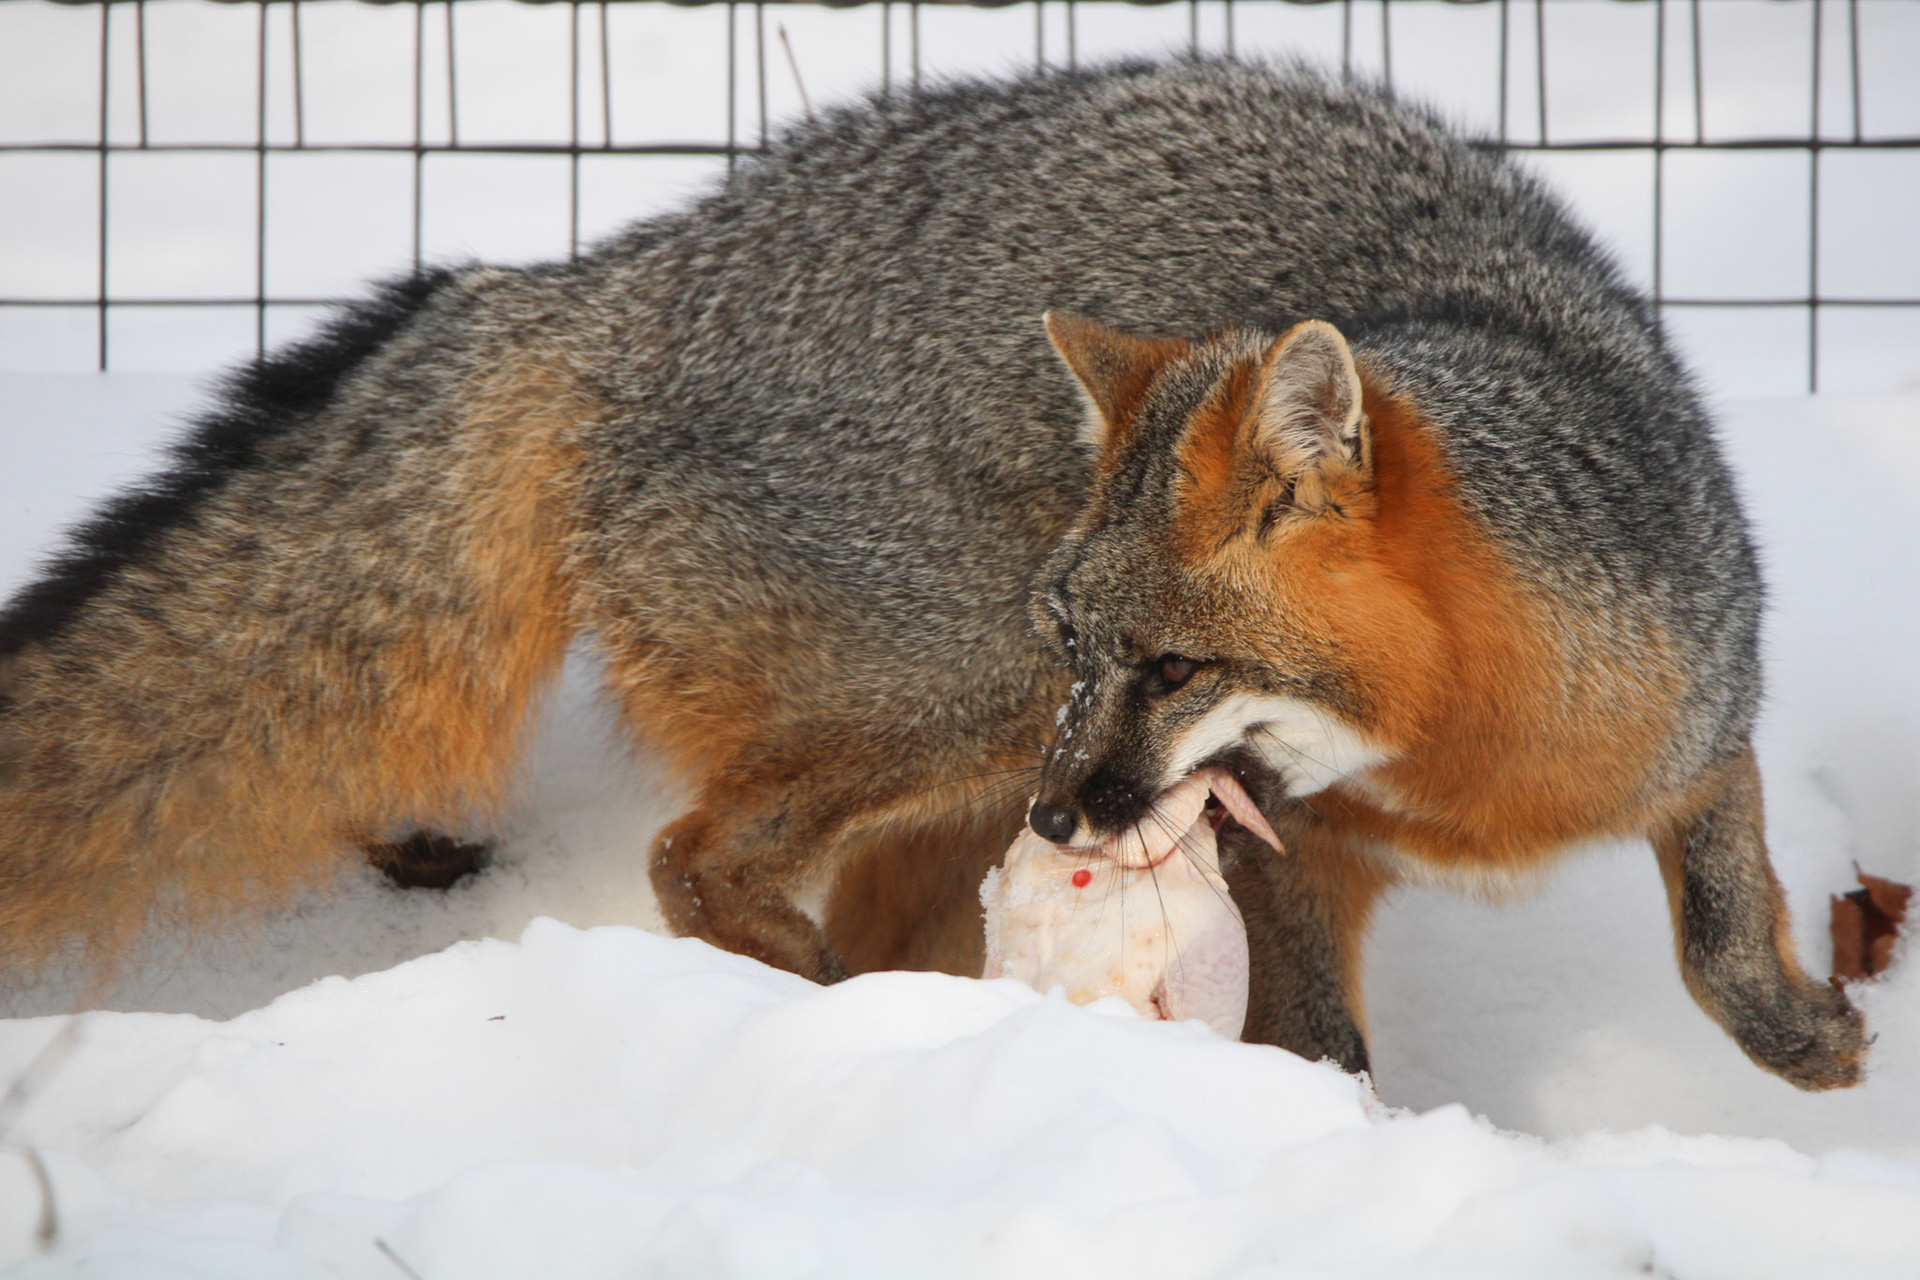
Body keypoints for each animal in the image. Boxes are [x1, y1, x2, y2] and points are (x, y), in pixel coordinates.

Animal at [0, 59, 1863, 1089]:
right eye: (1085, 641)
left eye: (1173, 668)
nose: (1062, 814)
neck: (1457, 776)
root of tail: (615, 279)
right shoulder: (1276, 838)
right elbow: (1320, 1028)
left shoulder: (1699, 708)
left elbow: (1717, 910)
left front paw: (1793, 1031)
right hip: (959, 706)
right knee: (694, 857)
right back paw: (829, 999)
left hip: (958, 768)